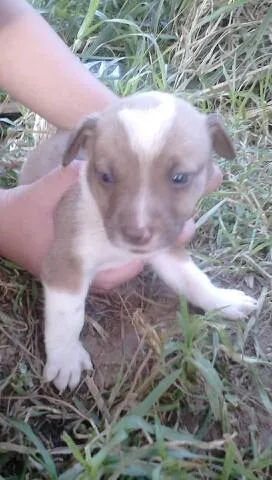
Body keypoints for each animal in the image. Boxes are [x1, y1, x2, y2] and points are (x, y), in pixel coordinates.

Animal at [19, 92, 258, 392]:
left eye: (180, 178)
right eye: (105, 176)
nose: (136, 234)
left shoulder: (165, 249)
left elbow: (194, 279)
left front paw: (221, 300)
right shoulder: (65, 264)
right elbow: (68, 316)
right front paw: (65, 357)